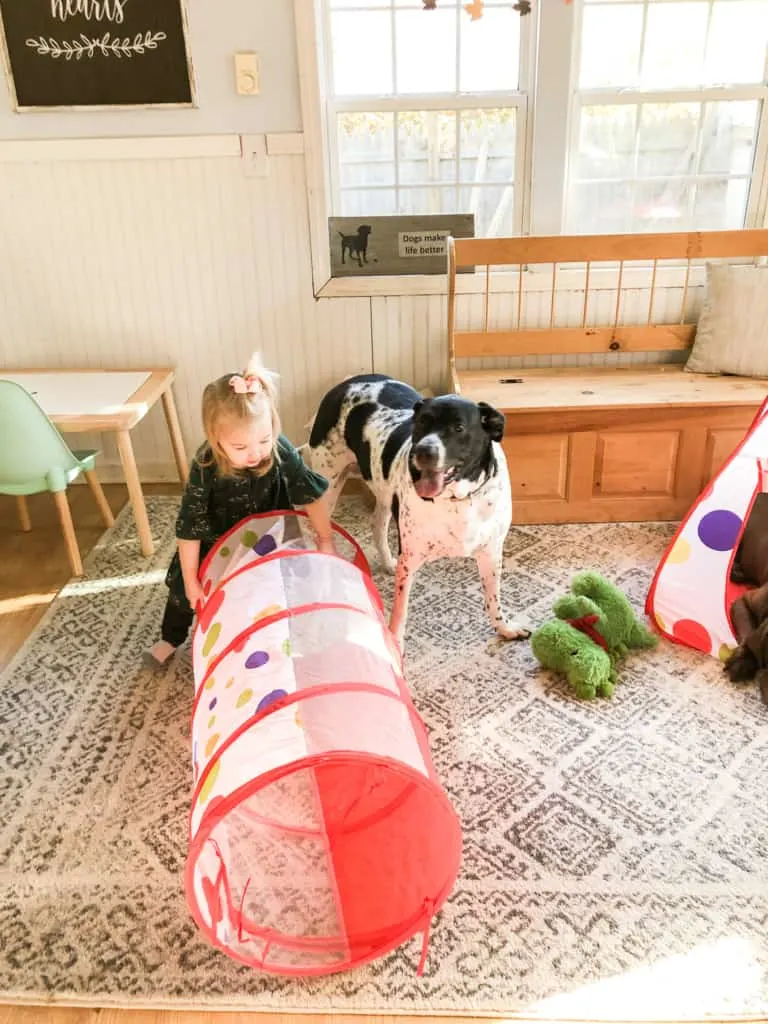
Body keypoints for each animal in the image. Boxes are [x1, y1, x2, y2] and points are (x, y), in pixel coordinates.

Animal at [305, 374, 528, 647]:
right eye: (422, 422)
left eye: (458, 427)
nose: (423, 451)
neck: (457, 499)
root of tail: (348, 382)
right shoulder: (411, 557)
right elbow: (400, 612)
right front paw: (395, 644)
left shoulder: (491, 552)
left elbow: (493, 598)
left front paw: (504, 628)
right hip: (328, 486)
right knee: (318, 532)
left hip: (383, 490)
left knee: (377, 525)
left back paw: (388, 562)